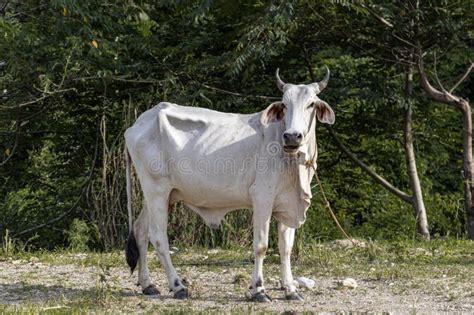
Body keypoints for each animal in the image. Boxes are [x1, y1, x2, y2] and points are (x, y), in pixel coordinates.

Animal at [124, 68, 336, 302]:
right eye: (284, 104)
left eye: (311, 104)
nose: (292, 136)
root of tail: (139, 122)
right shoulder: (262, 198)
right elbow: (261, 246)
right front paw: (259, 290)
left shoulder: (288, 202)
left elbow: (286, 247)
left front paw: (290, 289)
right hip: (157, 190)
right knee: (158, 237)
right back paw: (178, 286)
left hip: (162, 195)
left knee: (141, 231)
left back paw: (148, 285)